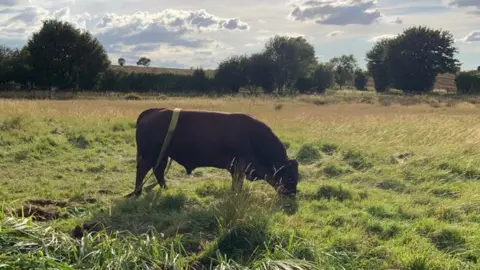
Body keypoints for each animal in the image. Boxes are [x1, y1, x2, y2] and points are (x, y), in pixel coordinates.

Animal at [126, 107, 300, 198]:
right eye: (290, 176)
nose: (292, 194)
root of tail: (153, 112)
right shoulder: (240, 167)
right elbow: (237, 184)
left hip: (161, 156)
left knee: (158, 171)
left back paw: (165, 189)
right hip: (149, 156)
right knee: (142, 171)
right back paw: (138, 192)